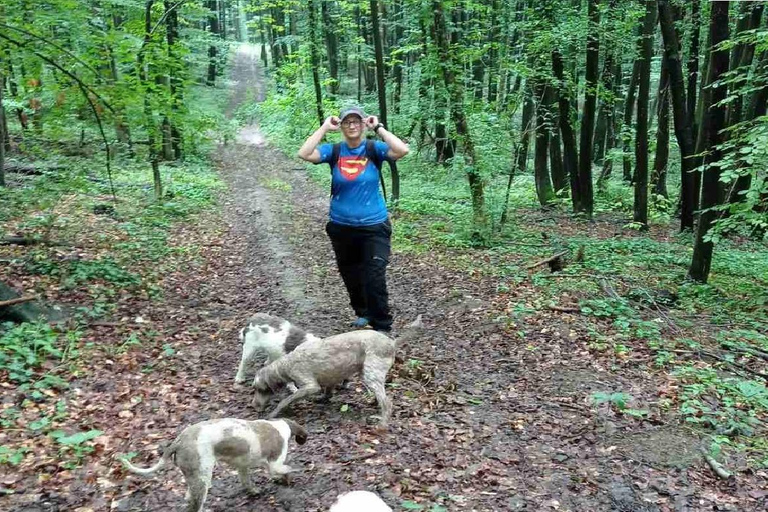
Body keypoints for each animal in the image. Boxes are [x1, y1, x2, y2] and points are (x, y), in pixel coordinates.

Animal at [121, 418, 308, 512]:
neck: (280, 427)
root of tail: (178, 442)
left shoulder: (243, 466)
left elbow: (247, 481)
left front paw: (254, 490)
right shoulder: (276, 463)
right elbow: (286, 469)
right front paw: (289, 476)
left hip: (195, 478)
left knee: (188, 497)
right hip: (202, 478)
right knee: (194, 507)